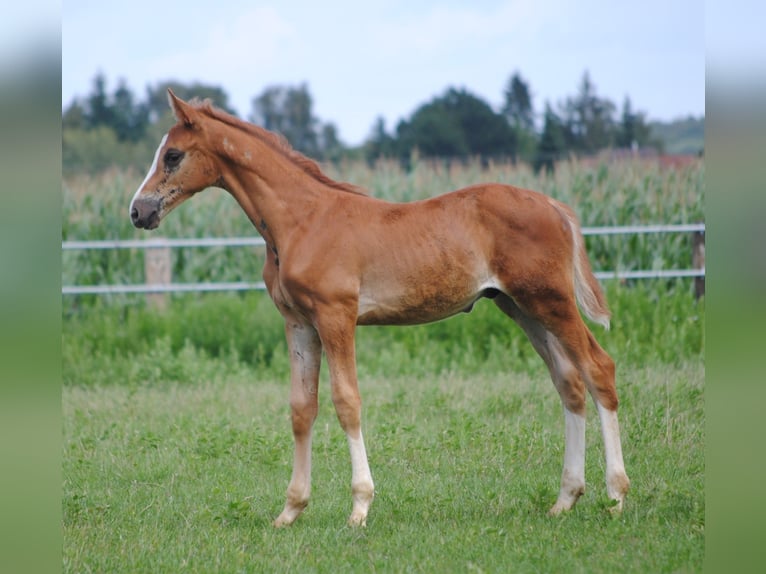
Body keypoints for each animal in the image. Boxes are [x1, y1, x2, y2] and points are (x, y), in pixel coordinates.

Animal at [130, 92, 632, 528]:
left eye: (172, 155)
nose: (138, 211)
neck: (301, 221)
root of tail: (553, 204)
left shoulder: (336, 317)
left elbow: (346, 402)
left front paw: (359, 507)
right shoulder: (298, 324)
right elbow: (301, 408)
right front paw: (290, 510)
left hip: (551, 301)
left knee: (598, 368)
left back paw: (616, 495)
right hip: (522, 308)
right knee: (568, 383)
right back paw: (565, 499)